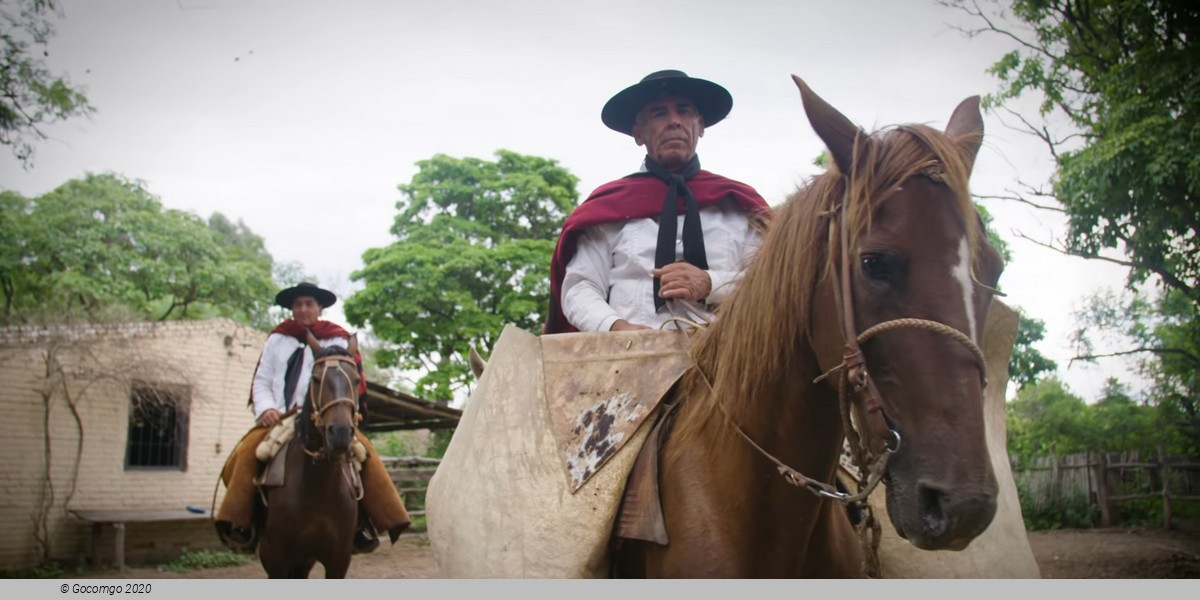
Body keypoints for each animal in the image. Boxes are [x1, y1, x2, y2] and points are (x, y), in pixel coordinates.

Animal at [256, 338, 360, 576]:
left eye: (356, 379)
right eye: (315, 378)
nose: (340, 432)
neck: (317, 489)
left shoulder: (339, 560)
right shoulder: (277, 560)